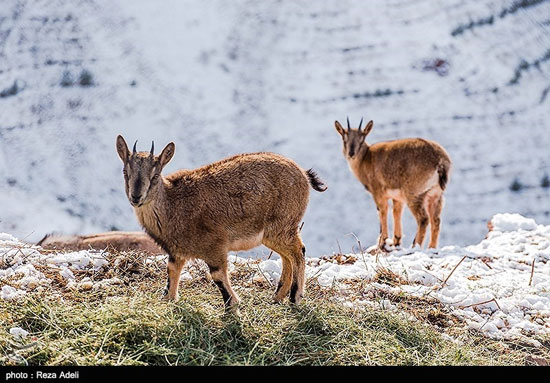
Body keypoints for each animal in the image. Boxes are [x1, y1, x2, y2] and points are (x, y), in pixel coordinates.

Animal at [114, 136, 326, 310]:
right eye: (125, 172)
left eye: (155, 176)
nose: (136, 197)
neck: (173, 205)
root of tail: (304, 174)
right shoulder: (177, 251)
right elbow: (172, 270)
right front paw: (168, 299)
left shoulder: (214, 245)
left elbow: (217, 275)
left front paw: (232, 306)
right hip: (274, 234)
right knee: (286, 257)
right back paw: (277, 296)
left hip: (282, 226)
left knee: (298, 252)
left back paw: (294, 297)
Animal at [336, 120, 452, 252]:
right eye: (344, 139)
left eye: (362, 139)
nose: (351, 153)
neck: (365, 160)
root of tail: (441, 162)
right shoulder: (397, 197)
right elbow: (396, 212)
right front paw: (396, 241)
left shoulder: (378, 191)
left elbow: (382, 211)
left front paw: (382, 242)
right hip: (435, 194)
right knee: (436, 220)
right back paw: (431, 247)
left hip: (414, 193)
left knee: (423, 219)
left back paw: (415, 246)